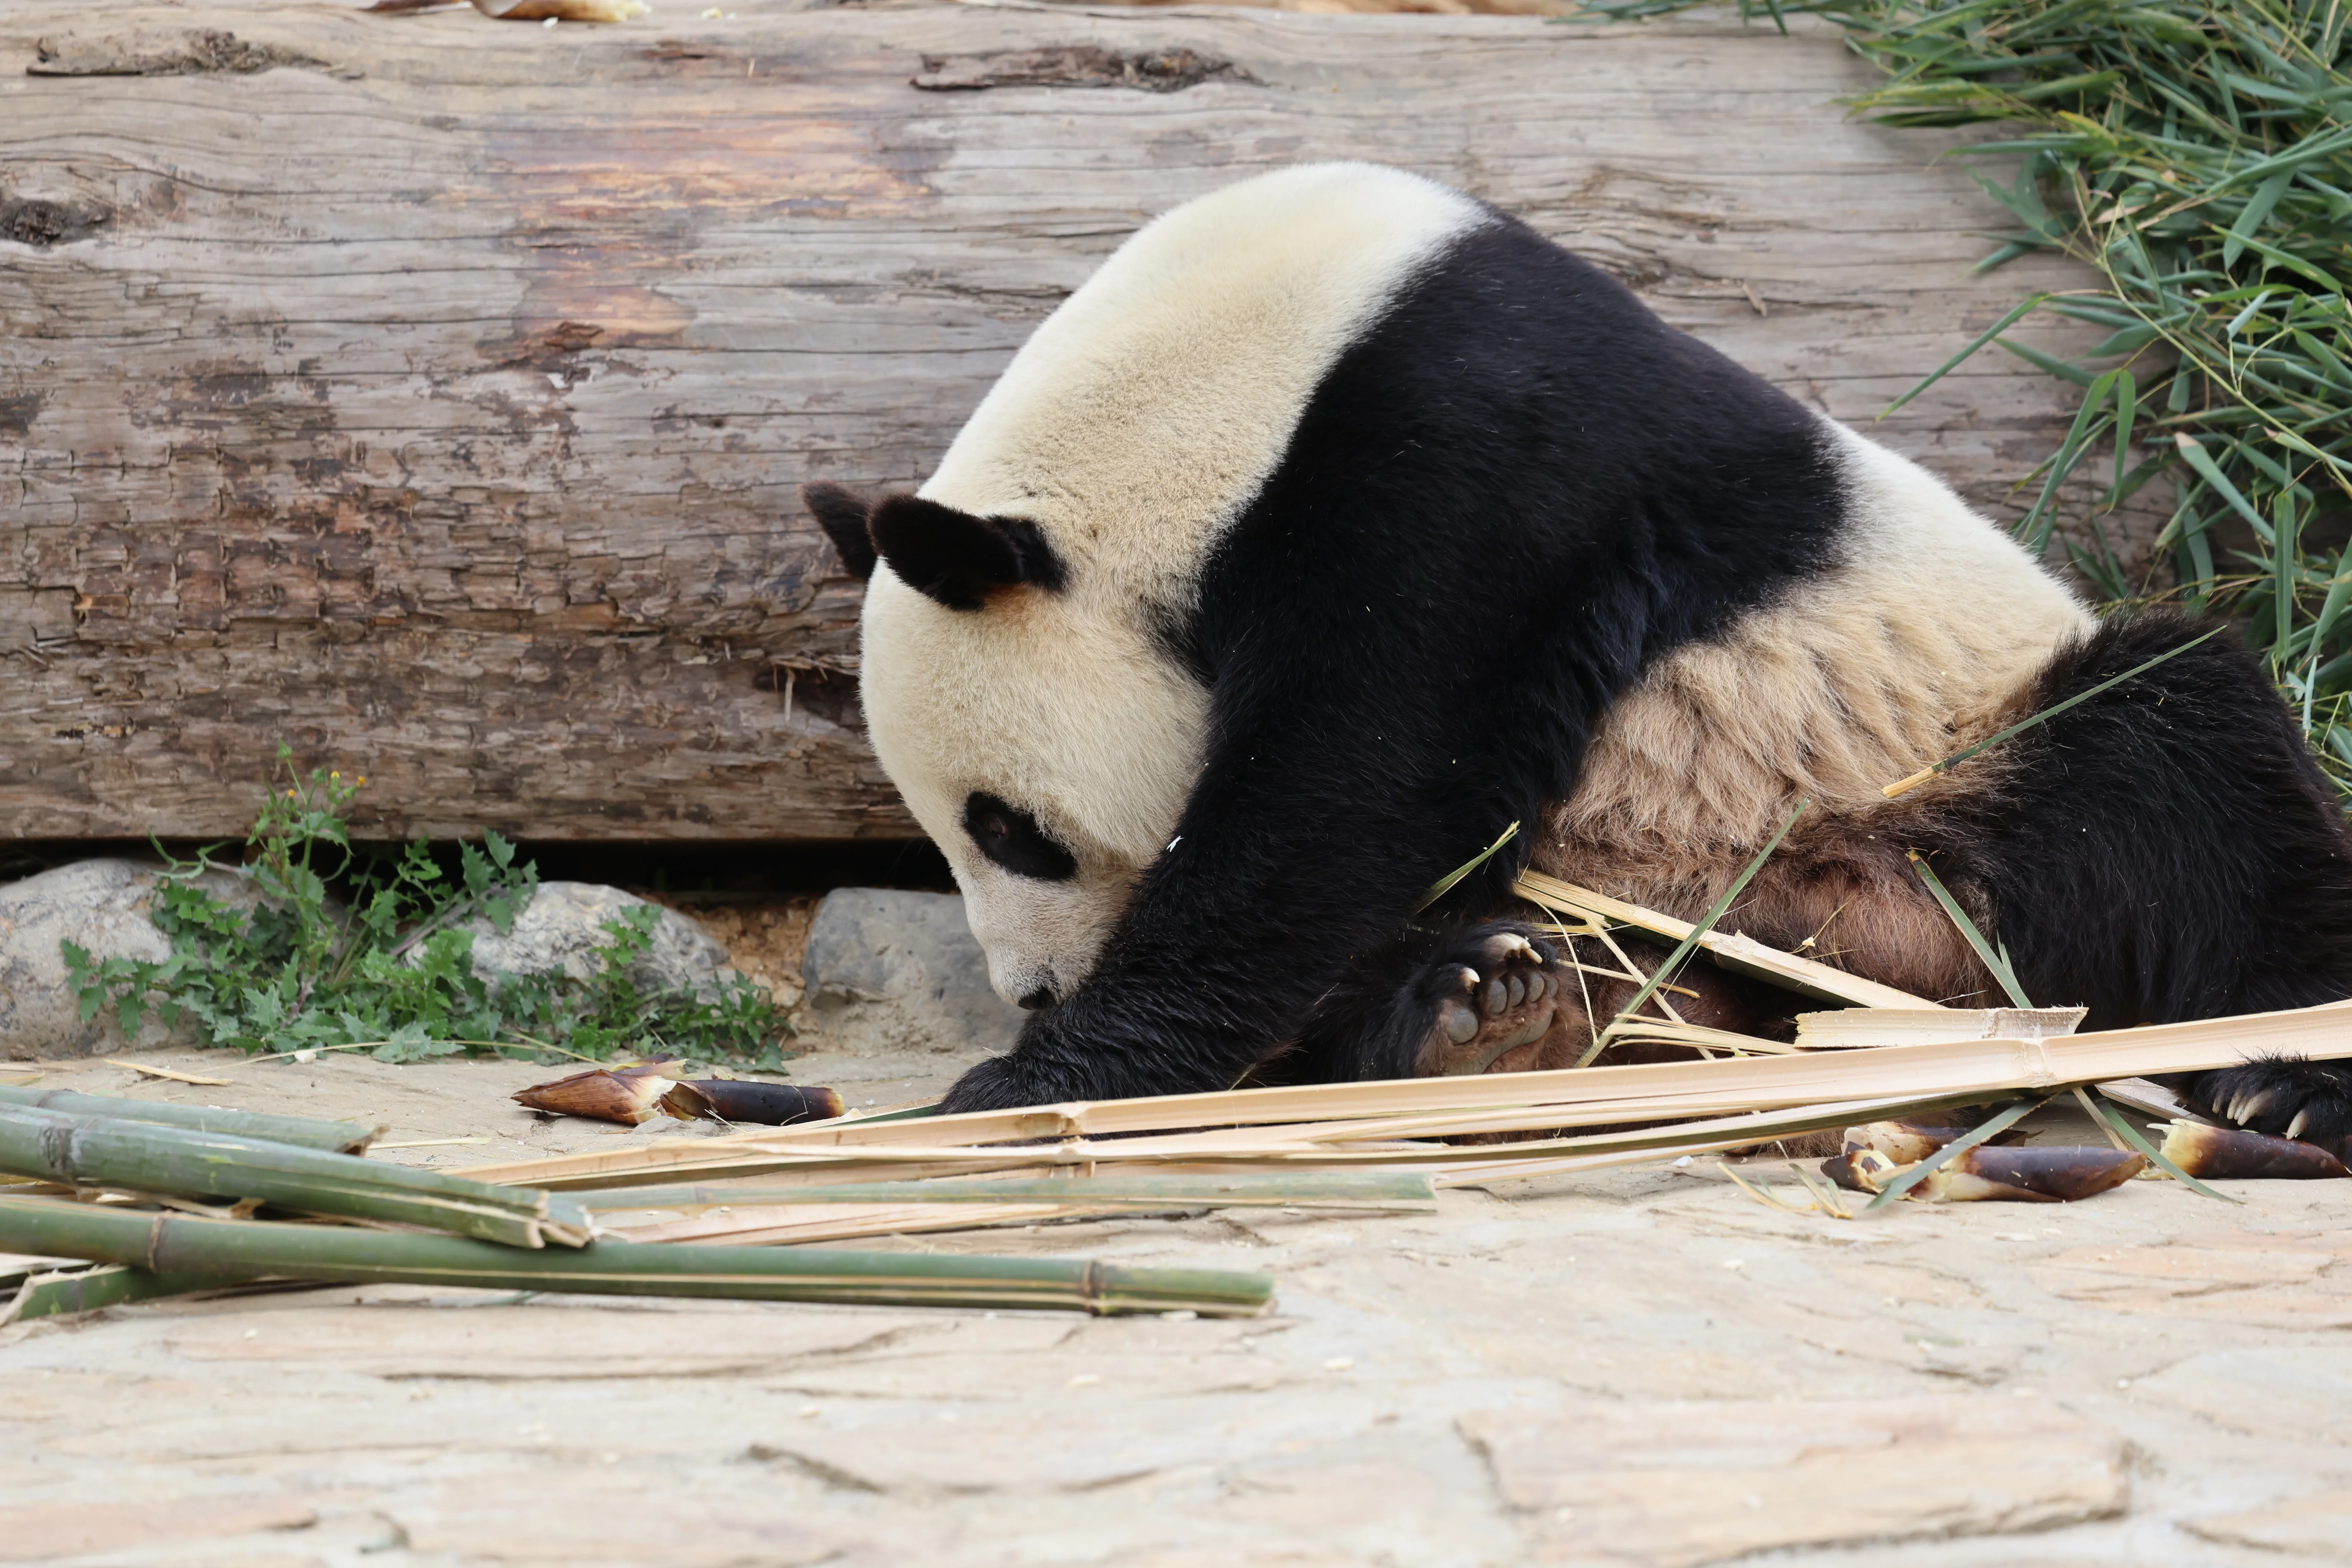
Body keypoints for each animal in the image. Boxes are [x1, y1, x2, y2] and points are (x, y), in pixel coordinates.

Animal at [804, 161, 2352, 1150]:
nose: (1030, 987)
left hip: (1960, 746)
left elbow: (1351, 788)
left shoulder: (1465, 459)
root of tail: (1884, 971)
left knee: (2186, 750)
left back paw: (2285, 1078)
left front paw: (1029, 1080)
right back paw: (1493, 1016)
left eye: (1014, 828)